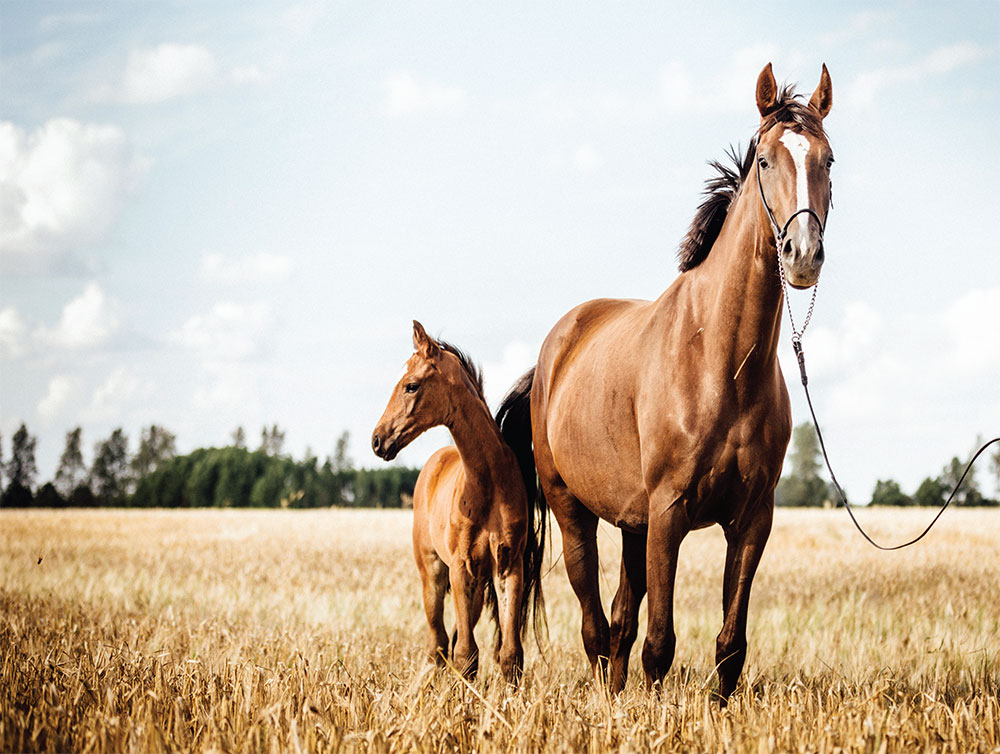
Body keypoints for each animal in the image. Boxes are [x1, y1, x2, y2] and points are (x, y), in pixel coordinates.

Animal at [500, 64, 836, 700]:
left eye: (828, 161)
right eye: (765, 161)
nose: (802, 254)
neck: (720, 363)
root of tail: (556, 346)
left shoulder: (752, 520)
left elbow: (729, 645)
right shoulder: (670, 512)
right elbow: (659, 643)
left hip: (633, 523)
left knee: (618, 621)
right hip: (574, 511)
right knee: (595, 623)